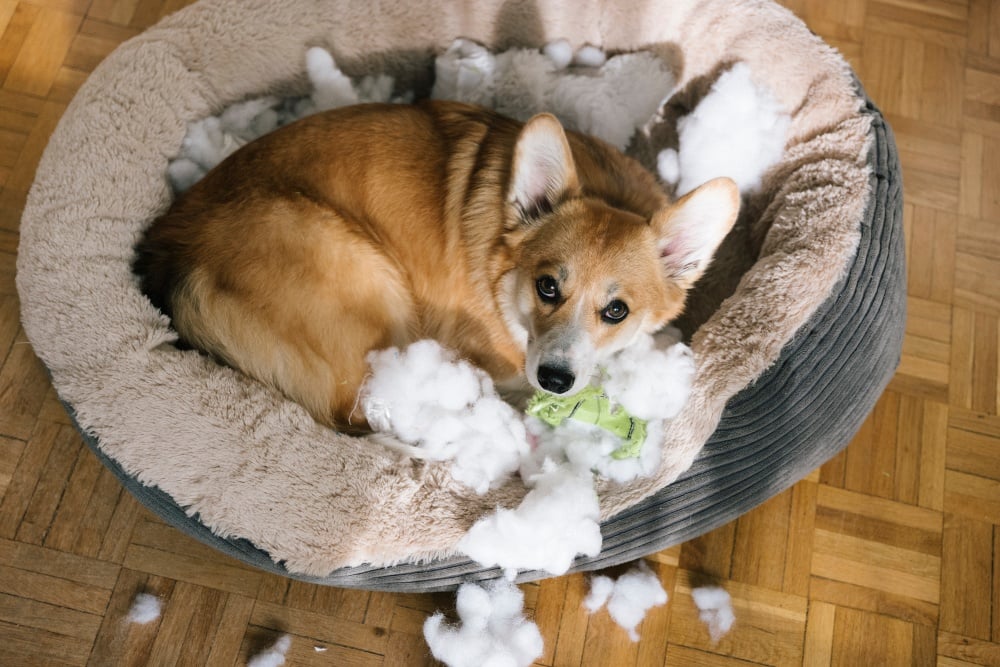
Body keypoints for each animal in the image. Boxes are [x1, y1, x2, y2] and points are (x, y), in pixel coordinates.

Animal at [133, 100, 740, 434]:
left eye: (617, 311)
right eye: (547, 286)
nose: (555, 380)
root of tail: (175, 255)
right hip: (368, 275)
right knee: (365, 416)